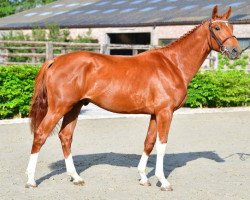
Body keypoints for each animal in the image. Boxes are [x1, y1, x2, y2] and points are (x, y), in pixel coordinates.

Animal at [26, 6, 241, 191]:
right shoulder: (165, 113)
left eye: (232, 27)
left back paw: (76, 177)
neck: (173, 64)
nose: (236, 51)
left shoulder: (155, 114)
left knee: (66, 137)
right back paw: (31, 180)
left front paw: (144, 178)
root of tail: (55, 60)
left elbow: (149, 142)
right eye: (217, 27)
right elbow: (162, 144)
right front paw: (163, 181)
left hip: (74, 107)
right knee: (41, 134)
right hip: (59, 107)